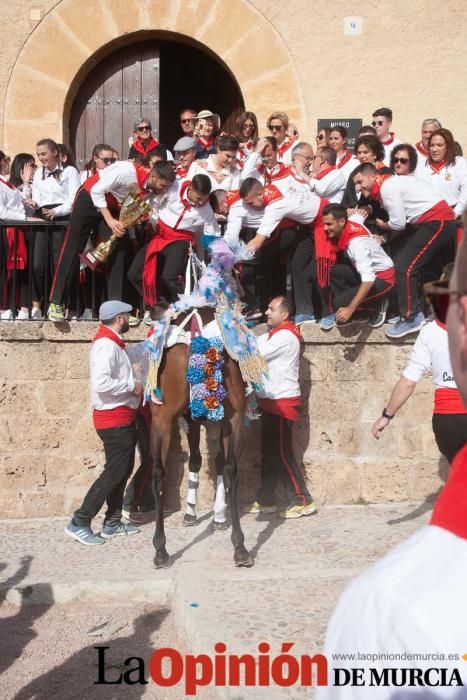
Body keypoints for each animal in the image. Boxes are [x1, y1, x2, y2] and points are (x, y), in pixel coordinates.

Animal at [143, 238, 268, 568]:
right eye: (238, 276)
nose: (252, 302)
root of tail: (194, 334)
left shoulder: (192, 418)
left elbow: (199, 459)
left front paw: (192, 511)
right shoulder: (224, 418)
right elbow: (221, 463)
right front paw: (218, 517)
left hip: (162, 418)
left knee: (157, 473)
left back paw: (160, 549)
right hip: (232, 416)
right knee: (232, 468)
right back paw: (240, 546)